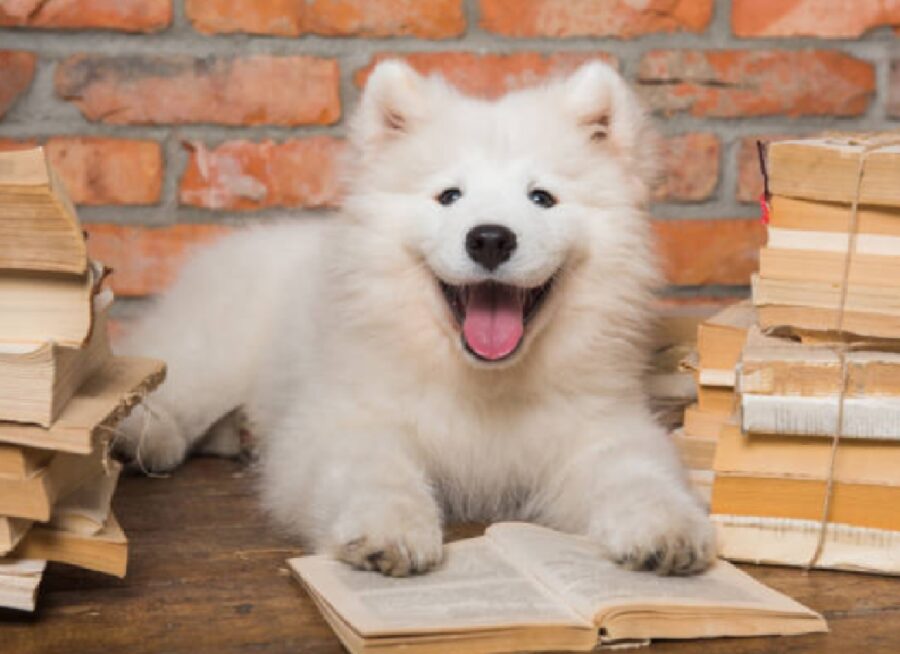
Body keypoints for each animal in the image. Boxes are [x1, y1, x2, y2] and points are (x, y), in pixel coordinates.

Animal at [119, 57, 712, 580]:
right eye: (449, 196)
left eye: (542, 198)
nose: (490, 238)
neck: (485, 382)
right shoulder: (349, 421)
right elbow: (378, 472)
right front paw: (390, 533)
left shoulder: (600, 427)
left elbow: (638, 474)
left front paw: (670, 530)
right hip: (212, 353)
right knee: (165, 388)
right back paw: (138, 439)